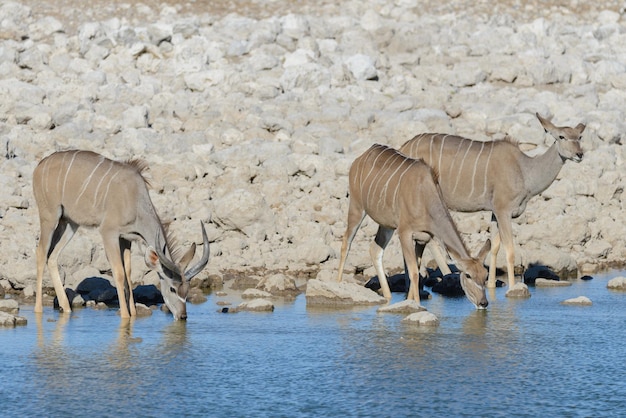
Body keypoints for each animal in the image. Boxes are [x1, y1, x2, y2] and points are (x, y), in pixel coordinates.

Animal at [33, 150, 208, 320]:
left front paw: (134, 314)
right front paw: (125, 316)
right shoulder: (108, 233)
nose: (183, 316)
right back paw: (38, 309)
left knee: (52, 257)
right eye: (172, 289)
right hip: (50, 217)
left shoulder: (126, 238)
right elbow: (118, 273)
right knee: (41, 253)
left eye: (187, 289)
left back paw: (67, 307)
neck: (135, 199)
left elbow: (128, 274)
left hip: (70, 223)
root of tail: (40, 165)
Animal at [336, 145, 488, 308]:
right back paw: (338, 283)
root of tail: (360, 158)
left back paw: (388, 297)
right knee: (346, 242)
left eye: (485, 275)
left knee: (375, 249)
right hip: (357, 207)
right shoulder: (404, 233)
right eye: (468, 275)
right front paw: (416, 305)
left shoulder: (423, 238)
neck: (425, 196)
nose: (483, 302)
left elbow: (415, 270)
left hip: (387, 225)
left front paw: (409, 302)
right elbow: (414, 272)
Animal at [398, 112, 584, 288]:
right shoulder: (504, 211)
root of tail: (404, 146)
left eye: (580, 137)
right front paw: (512, 287)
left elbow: (494, 247)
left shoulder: (495, 212)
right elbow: (510, 250)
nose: (579, 154)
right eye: (561, 136)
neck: (524, 170)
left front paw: (491, 285)